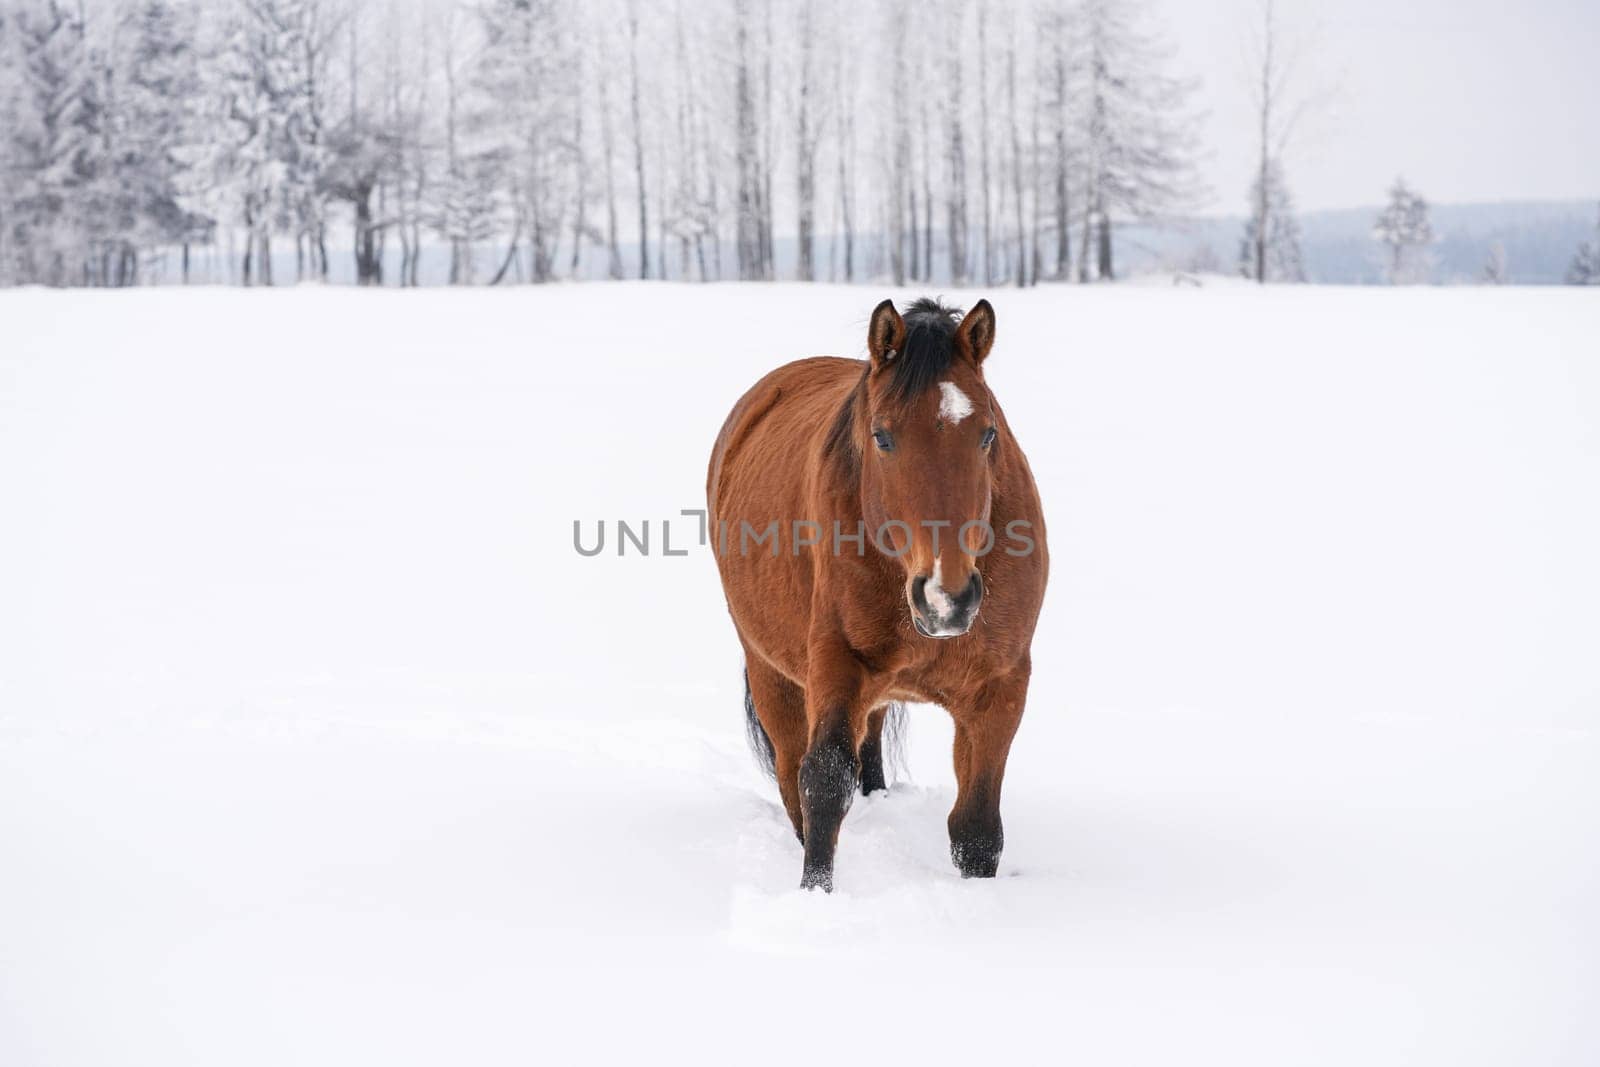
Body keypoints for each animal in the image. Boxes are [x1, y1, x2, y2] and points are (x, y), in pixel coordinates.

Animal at [707, 295, 1043, 889]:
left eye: (987, 434)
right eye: (882, 436)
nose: (947, 599)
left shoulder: (1001, 687)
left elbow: (977, 830)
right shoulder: (836, 667)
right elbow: (823, 783)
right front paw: (816, 896)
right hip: (773, 672)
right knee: (793, 777)